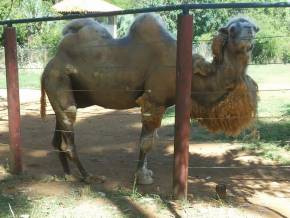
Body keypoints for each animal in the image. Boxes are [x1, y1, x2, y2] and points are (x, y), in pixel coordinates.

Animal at [40, 13, 258, 184]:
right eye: (232, 29)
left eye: (254, 27)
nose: (249, 32)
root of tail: (50, 64)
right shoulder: (154, 100)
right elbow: (146, 142)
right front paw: (141, 177)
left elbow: (149, 139)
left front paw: (145, 172)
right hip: (58, 80)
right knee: (68, 129)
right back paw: (88, 176)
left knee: (58, 136)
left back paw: (68, 175)